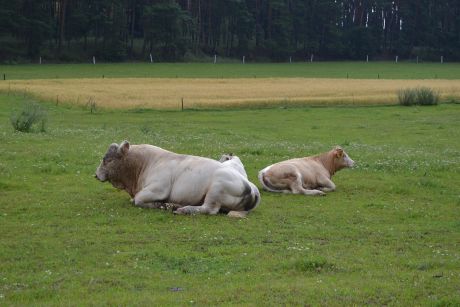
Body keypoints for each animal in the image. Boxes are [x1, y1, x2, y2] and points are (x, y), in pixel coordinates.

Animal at [95, 141, 260, 218]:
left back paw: (181, 209)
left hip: (216, 189)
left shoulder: (158, 188)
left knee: (209, 209)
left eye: (108, 160)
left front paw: (160, 205)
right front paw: (164, 204)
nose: (96, 175)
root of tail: (252, 188)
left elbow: (138, 200)